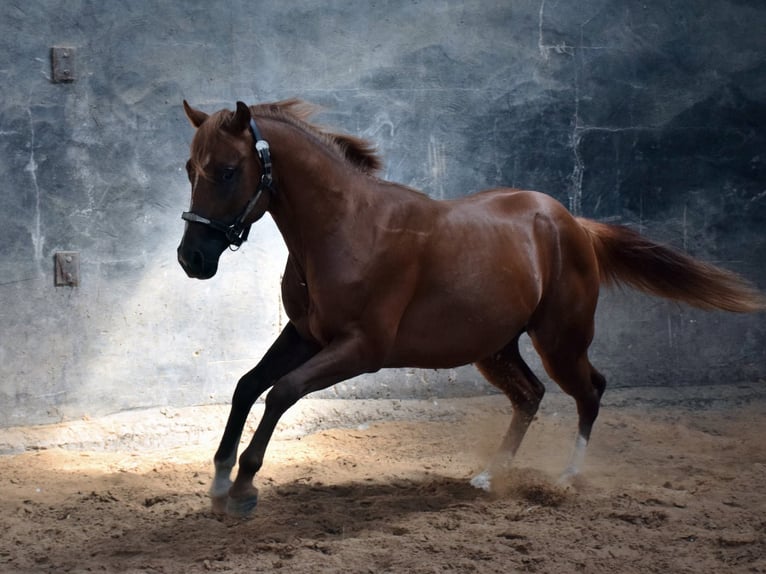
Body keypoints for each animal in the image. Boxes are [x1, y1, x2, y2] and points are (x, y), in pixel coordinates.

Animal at [177, 99, 764, 517]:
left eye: (227, 170)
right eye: (189, 168)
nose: (192, 258)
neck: (346, 229)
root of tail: (573, 223)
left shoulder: (360, 349)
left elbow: (282, 392)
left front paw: (244, 487)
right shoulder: (305, 335)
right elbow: (248, 385)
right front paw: (220, 479)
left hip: (561, 340)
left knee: (590, 391)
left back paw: (565, 480)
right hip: (495, 347)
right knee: (530, 395)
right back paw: (488, 476)